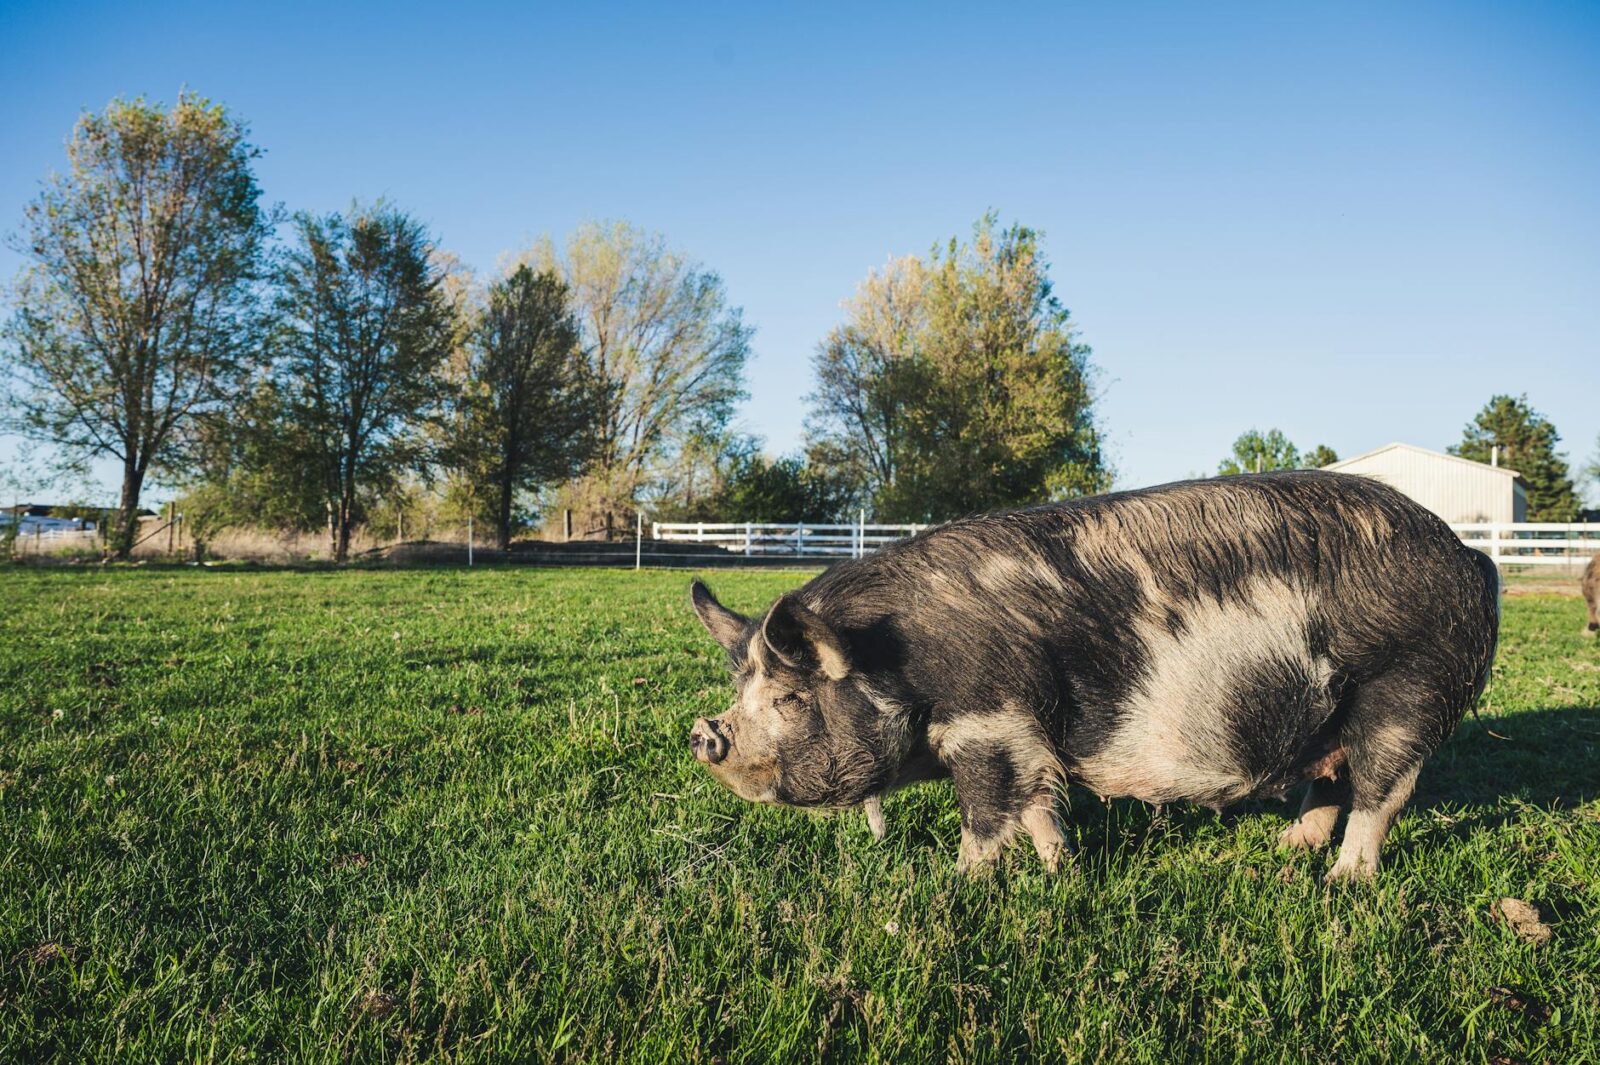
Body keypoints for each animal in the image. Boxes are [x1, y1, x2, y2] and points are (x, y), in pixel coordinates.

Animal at [687, 471, 1501, 882]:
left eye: (790, 696)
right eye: (739, 691)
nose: (704, 734)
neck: (904, 661)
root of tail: (1472, 559)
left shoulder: (989, 723)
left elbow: (987, 814)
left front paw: (960, 884)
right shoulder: (1027, 737)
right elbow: (1040, 806)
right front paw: (1059, 873)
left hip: (1407, 691)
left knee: (1381, 792)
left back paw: (1342, 883)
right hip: (1331, 713)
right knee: (1328, 781)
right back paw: (1285, 851)